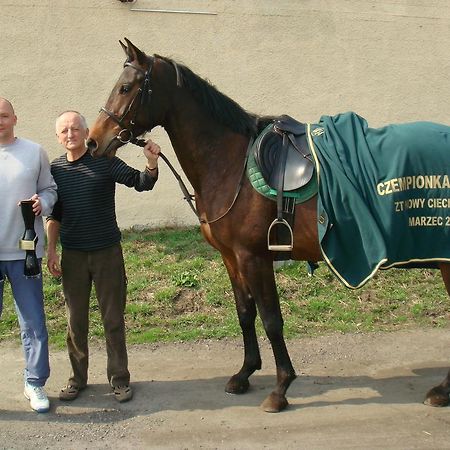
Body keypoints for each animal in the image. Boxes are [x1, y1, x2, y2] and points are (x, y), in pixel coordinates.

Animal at [87, 37, 450, 412]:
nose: (93, 141)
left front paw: (281, 388)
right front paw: (245, 373)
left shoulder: (255, 257)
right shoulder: (231, 258)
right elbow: (245, 313)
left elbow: (272, 319)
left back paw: (441, 391)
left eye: (125, 88)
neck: (229, 162)